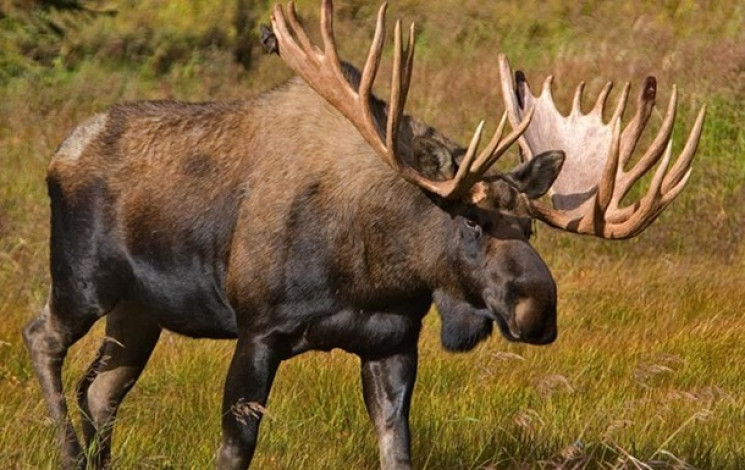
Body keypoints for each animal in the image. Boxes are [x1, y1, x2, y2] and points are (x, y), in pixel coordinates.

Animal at [24, 0, 704, 470]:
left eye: (532, 225)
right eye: (470, 219)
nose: (538, 309)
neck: (374, 267)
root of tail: (58, 154)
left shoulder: (392, 343)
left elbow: (397, 449)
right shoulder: (258, 328)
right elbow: (234, 449)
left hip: (140, 311)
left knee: (102, 389)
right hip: (81, 283)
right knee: (42, 339)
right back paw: (68, 452)